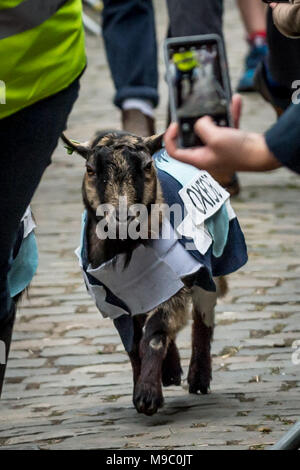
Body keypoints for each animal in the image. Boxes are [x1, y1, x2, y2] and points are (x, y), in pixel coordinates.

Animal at [62, 130, 247, 416]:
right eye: (90, 169)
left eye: (147, 167)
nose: (122, 218)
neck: (125, 248)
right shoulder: (113, 299)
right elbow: (133, 343)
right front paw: (146, 384)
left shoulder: (178, 279)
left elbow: (154, 332)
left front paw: (147, 396)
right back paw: (171, 372)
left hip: (210, 265)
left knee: (203, 318)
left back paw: (198, 378)